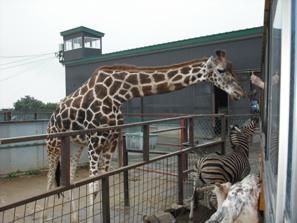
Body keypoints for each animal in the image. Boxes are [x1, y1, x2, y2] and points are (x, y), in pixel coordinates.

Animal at [44, 49, 243, 222]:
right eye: (221, 70)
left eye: (232, 67)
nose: (239, 92)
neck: (116, 95)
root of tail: (51, 117)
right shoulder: (95, 142)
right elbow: (93, 187)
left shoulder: (110, 143)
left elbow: (102, 184)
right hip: (53, 143)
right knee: (49, 181)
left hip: (76, 145)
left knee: (69, 178)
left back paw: (74, 218)